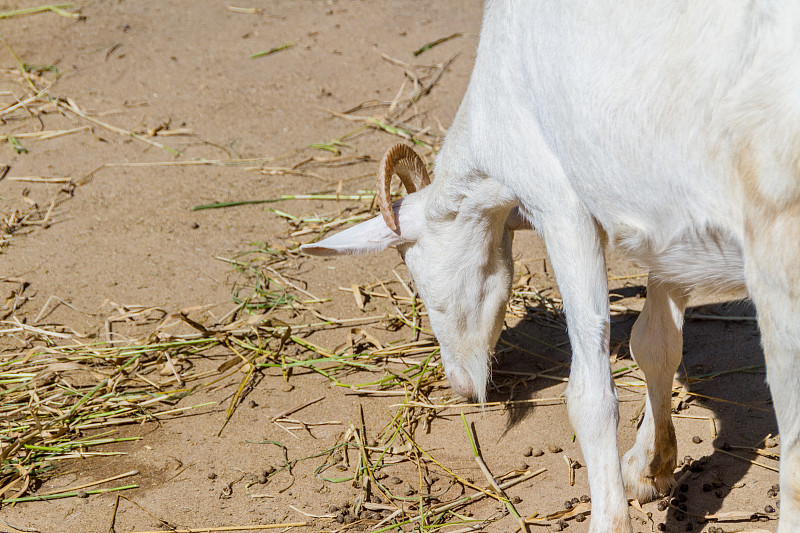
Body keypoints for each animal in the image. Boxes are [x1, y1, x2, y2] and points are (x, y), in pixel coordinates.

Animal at [300, 2, 800, 528]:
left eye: (417, 277)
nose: (460, 386)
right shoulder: (661, 215)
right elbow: (656, 343)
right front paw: (649, 468)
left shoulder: (560, 203)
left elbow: (590, 396)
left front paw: (610, 516)